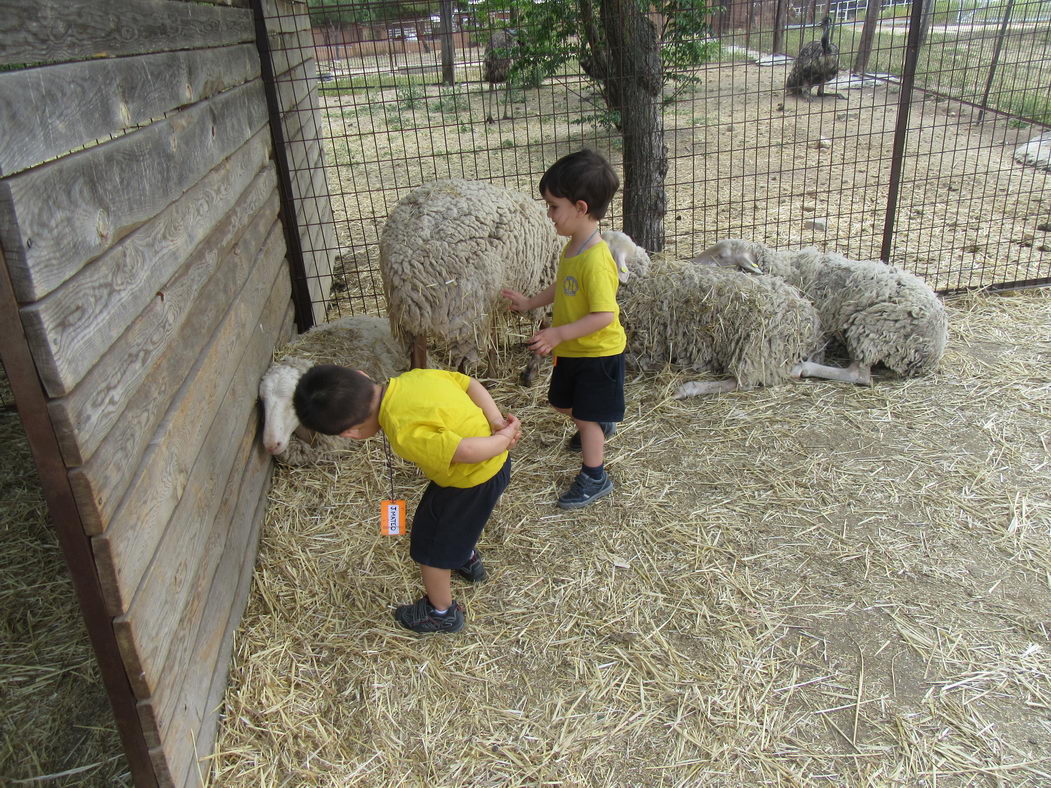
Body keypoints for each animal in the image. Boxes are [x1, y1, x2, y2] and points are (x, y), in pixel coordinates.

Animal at [376, 179, 559, 388]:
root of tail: (404, 267)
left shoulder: (492, 304)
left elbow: (493, 339)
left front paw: (495, 375)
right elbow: (544, 324)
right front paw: (527, 370)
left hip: (411, 319)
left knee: (417, 362)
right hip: (463, 313)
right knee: (461, 362)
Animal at [693, 240, 950, 388]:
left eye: (722, 256)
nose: (692, 262)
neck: (787, 267)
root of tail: (931, 352)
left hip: (872, 329)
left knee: (860, 375)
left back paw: (803, 368)